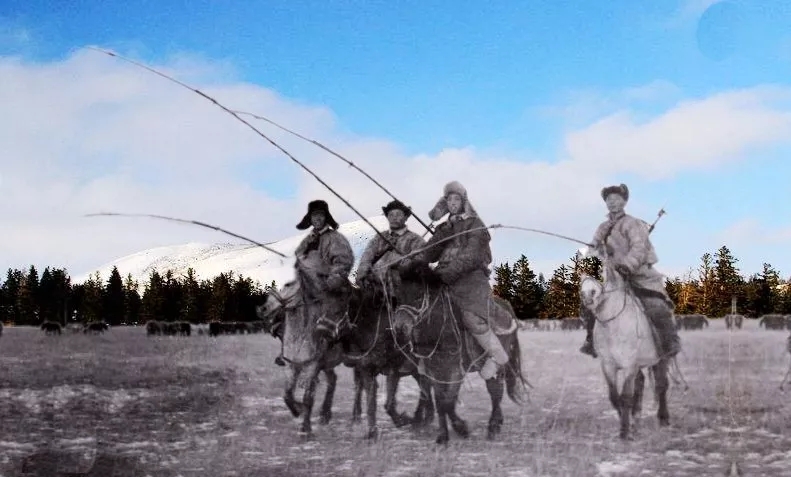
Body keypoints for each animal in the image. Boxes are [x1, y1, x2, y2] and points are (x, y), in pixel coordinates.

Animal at [391, 263, 528, 445]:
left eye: (419, 296)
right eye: (398, 296)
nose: (400, 329)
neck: (439, 328)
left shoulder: (455, 371)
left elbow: (447, 401)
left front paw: (460, 429)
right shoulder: (433, 371)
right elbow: (440, 401)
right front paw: (444, 435)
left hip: (498, 364)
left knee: (496, 391)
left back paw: (493, 427)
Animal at [579, 263, 670, 440]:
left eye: (601, 274)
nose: (588, 296)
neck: (613, 325)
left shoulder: (629, 366)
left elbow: (626, 396)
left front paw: (625, 432)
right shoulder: (608, 365)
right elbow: (615, 397)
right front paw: (627, 423)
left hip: (662, 360)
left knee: (662, 385)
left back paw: (663, 419)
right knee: (641, 384)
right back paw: (636, 417)